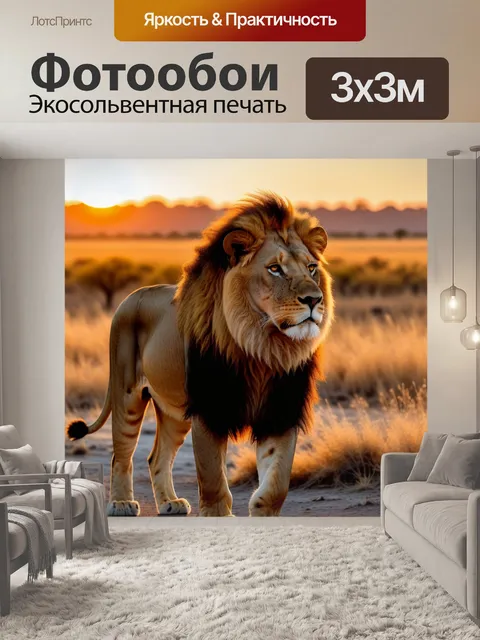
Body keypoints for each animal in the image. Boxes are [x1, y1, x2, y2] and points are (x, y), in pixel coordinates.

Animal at [67, 192, 334, 517]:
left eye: (311, 268)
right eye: (274, 269)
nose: (314, 300)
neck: (263, 347)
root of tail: (131, 296)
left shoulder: (279, 410)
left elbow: (276, 483)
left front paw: (262, 512)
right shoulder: (209, 409)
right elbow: (212, 478)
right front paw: (218, 514)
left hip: (176, 412)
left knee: (156, 457)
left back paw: (170, 503)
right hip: (127, 394)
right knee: (121, 454)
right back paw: (121, 503)